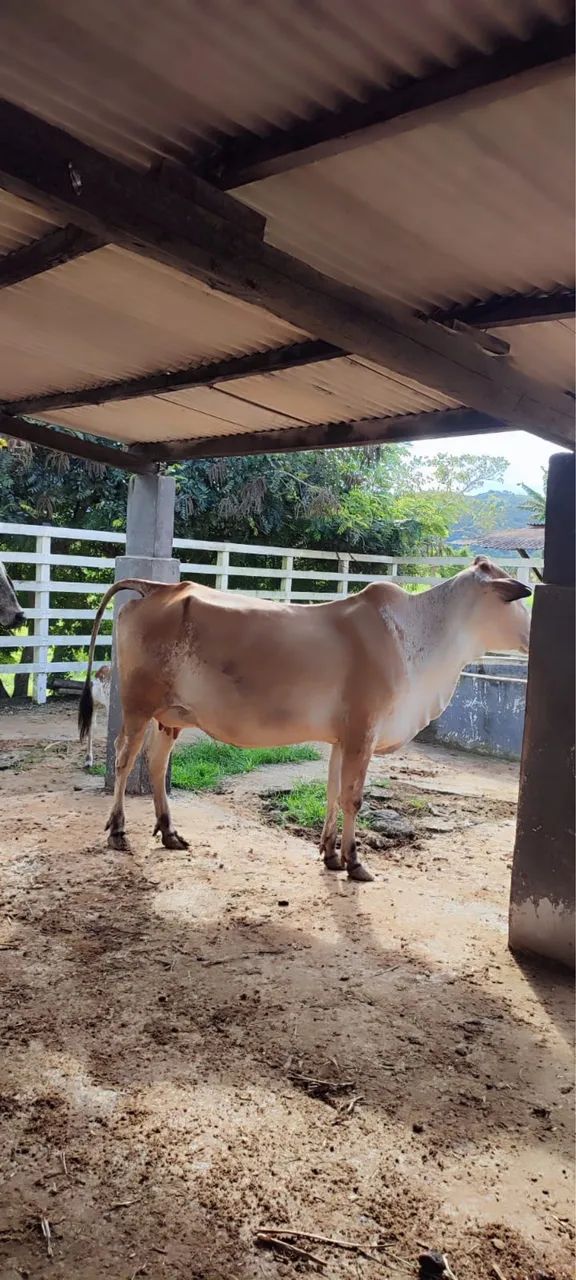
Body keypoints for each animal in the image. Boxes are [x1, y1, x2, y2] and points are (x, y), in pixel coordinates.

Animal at [79, 557, 531, 880]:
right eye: (515, 598)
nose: (531, 634)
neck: (415, 636)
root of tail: (163, 587)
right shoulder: (363, 732)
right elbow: (353, 797)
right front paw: (354, 861)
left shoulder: (343, 738)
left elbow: (332, 792)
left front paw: (330, 854)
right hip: (137, 706)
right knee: (123, 759)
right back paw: (118, 831)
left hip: (170, 715)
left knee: (155, 763)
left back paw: (169, 832)